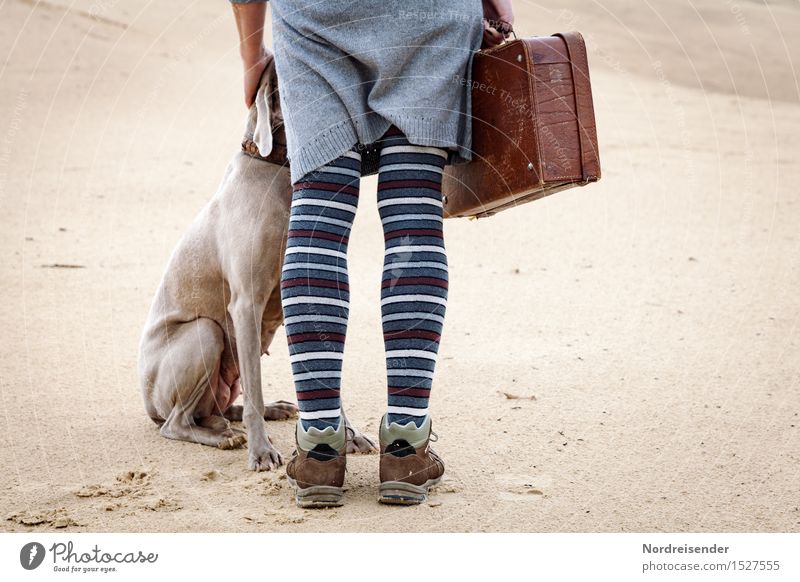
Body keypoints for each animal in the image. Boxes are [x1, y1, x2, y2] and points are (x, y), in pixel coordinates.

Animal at [138, 57, 376, 472]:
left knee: (219, 407)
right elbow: (256, 388)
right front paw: (262, 451)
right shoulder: (245, 303)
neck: (278, 170)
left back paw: (265, 412)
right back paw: (224, 437)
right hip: (204, 334)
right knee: (178, 422)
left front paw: (349, 434)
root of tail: (147, 402)